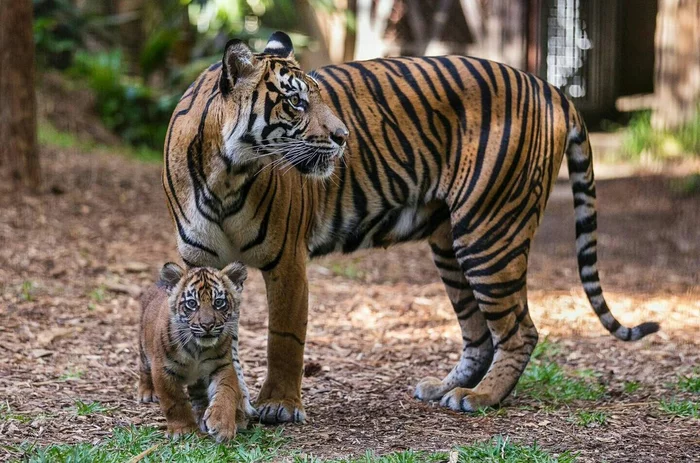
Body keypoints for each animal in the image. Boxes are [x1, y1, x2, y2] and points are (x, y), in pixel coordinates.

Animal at [163, 31, 656, 424]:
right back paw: (443, 389)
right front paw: (221, 400)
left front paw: (278, 405)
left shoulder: (287, 260)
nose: (344, 137)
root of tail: (550, 87)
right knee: (479, 333)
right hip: (450, 244)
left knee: (520, 330)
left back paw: (480, 397)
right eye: (296, 101)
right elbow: (216, 337)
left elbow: (284, 338)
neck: (226, 173)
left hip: (489, 232)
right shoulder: (202, 264)